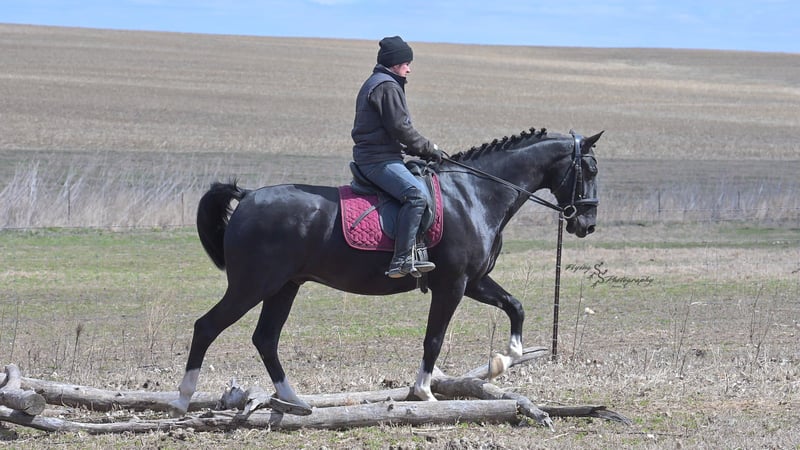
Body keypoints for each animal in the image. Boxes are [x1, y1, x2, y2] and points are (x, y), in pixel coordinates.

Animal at [168, 128, 603, 416]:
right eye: (591, 168)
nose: (587, 224)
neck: (475, 195)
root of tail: (247, 197)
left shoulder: (474, 282)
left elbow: (515, 306)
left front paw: (505, 358)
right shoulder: (453, 285)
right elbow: (433, 339)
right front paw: (423, 391)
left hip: (283, 287)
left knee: (265, 339)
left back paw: (295, 400)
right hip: (252, 285)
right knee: (207, 327)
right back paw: (183, 399)